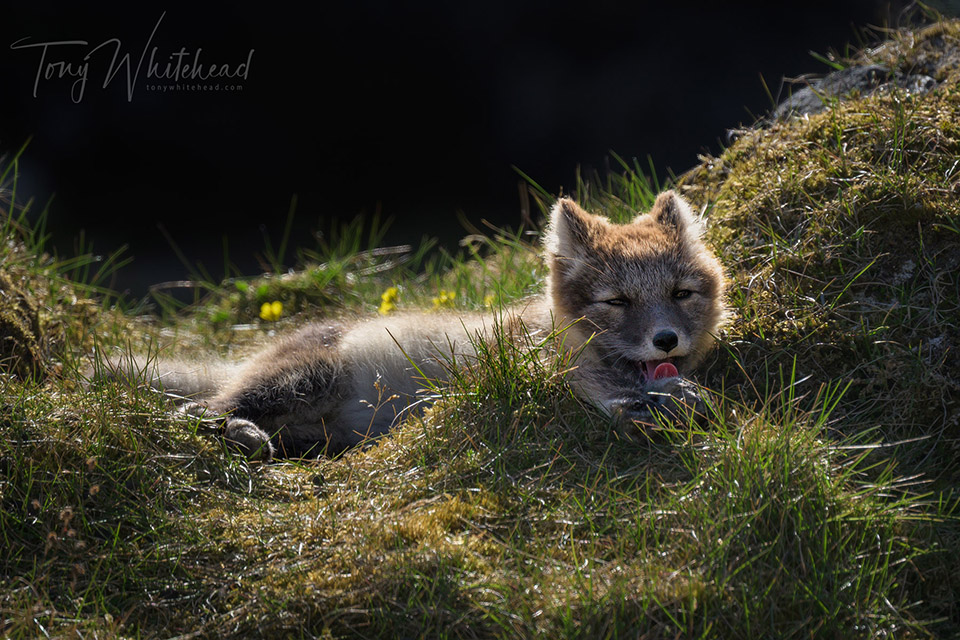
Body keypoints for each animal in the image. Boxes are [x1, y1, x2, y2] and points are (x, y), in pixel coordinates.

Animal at [109, 191, 726, 460]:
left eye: (680, 294)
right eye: (617, 301)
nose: (666, 339)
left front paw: (673, 395)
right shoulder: (522, 362)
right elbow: (593, 385)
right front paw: (652, 401)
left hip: (321, 423)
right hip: (302, 380)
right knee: (196, 410)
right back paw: (240, 433)